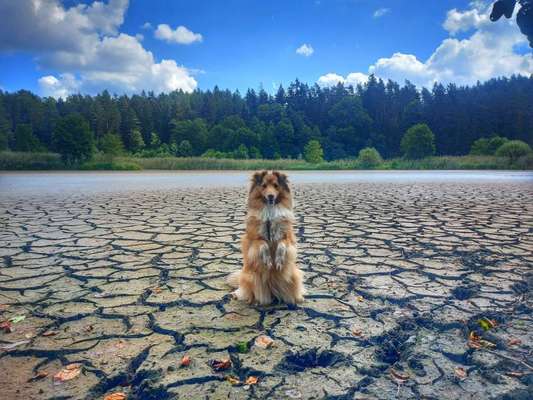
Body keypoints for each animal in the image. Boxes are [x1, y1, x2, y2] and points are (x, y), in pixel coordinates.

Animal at [225, 170, 304, 304]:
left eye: (276, 185)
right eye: (264, 186)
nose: (271, 196)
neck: (270, 212)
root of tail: (272, 291)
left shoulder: (288, 238)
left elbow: (282, 245)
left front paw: (278, 260)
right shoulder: (254, 240)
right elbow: (263, 244)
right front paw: (268, 260)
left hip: (293, 275)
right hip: (251, 277)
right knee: (249, 291)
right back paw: (243, 296)